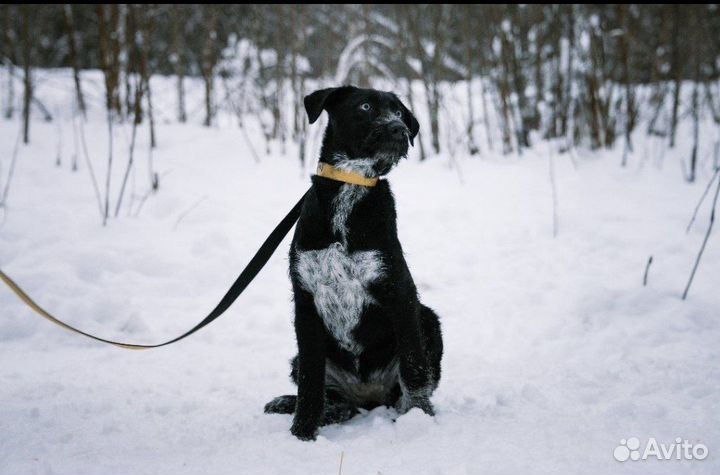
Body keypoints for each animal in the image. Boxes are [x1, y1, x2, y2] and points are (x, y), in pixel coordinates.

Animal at [264, 85, 442, 442]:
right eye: (365, 107)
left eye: (399, 112)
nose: (399, 130)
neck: (351, 184)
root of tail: (366, 396)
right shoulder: (306, 303)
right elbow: (310, 385)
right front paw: (302, 434)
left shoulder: (400, 293)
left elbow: (414, 368)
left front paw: (420, 419)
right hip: (301, 360)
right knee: (334, 400)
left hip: (428, 320)